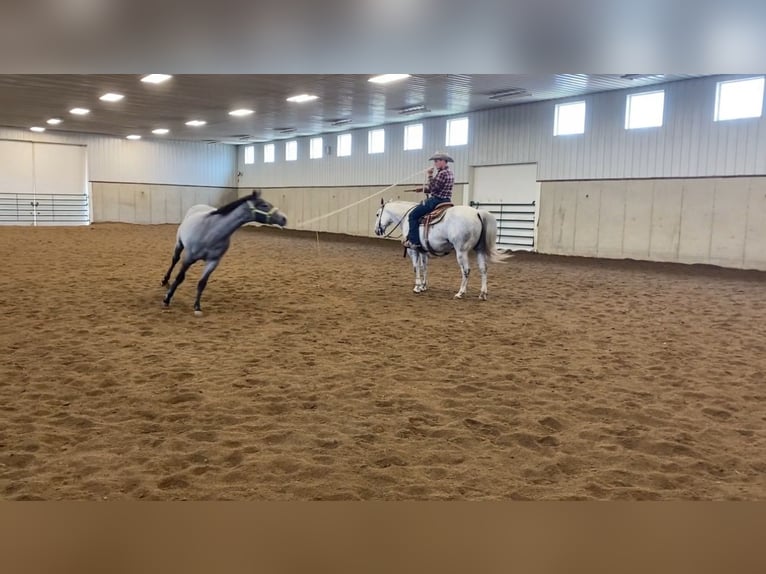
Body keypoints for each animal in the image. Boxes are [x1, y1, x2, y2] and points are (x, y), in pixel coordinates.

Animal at [374, 199, 507, 300]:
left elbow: (416, 268)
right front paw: (423, 286)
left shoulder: (413, 250)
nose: (376, 230)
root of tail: (477, 213)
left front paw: (417, 287)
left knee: (466, 270)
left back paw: (461, 292)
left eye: (377, 214)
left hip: (461, 251)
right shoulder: (423, 251)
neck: (406, 218)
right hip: (480, 249)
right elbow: (424, 267)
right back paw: (483, 293)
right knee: (483, 269)